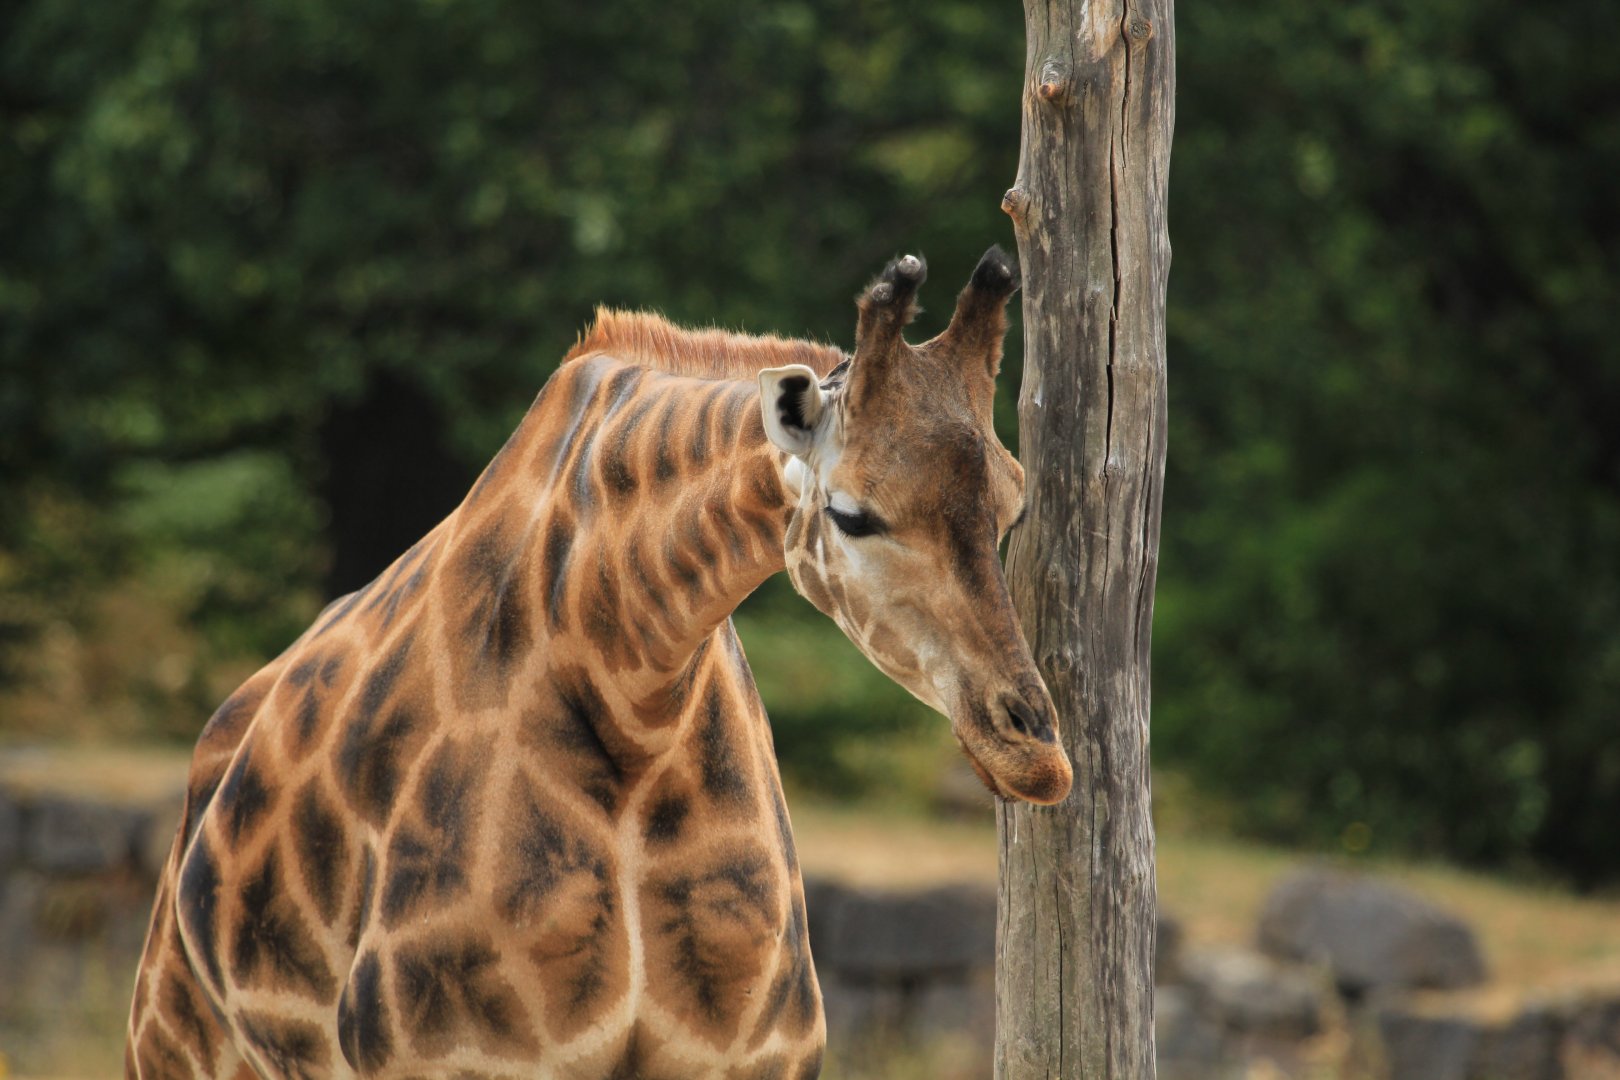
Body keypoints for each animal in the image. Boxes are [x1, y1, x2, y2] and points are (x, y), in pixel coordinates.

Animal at [125, 246, 1073, 1080]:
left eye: (1014, 500)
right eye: (851, 513)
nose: (1035, 752)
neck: (637, 706)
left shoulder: (748, 1060)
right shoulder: (455, 1059)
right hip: (173, 1045)